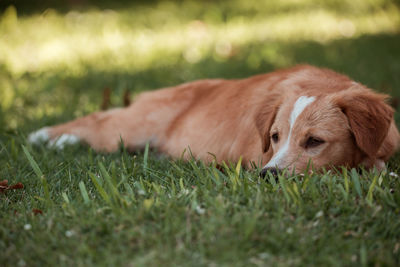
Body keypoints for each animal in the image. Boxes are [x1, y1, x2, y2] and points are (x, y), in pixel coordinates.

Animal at [28, 64, 400, 174]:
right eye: (274, 137)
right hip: (124, 131)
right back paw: (48, 136)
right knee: (94, 122)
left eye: (314, 141)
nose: (269, 177)